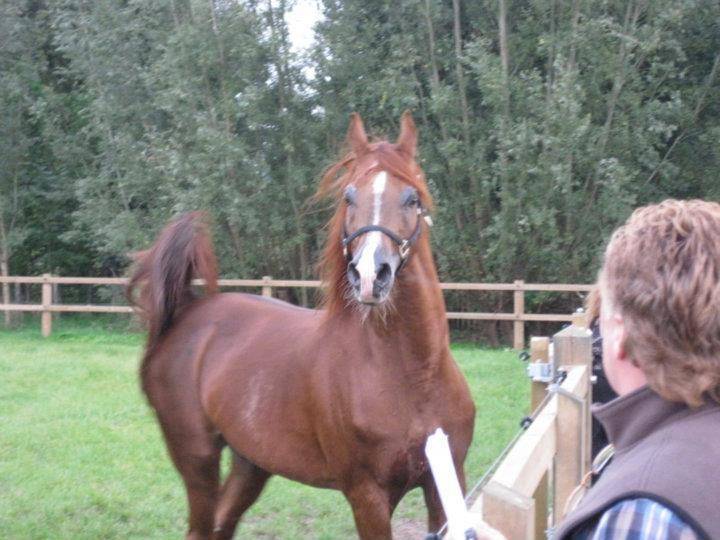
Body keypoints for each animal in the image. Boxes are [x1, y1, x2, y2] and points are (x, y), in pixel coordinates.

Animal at [127, 112, 476, 539]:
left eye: (413, 198)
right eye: (348, 197)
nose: (369, 275)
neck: (414, 377)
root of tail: (187, 314)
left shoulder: (447, 487)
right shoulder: (368, 495)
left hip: (251, 463)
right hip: (197, 458)